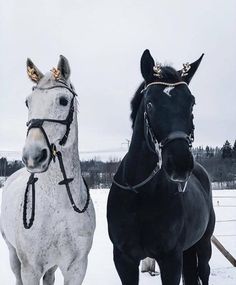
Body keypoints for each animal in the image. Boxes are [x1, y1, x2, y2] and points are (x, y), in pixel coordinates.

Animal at [0, 55, 96, 284]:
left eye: (63, 100)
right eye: (28, 102)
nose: (33, 156)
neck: (57, 205)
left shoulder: (77, 268)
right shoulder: (30, 269)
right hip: (12, 253)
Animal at [107, 50, 216, 282]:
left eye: (192, 102)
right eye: (150, 103)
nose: (180, 164)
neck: (140, 195)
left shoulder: (170, 258)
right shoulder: (123, 260)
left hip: (203, 244)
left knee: (203, 271)